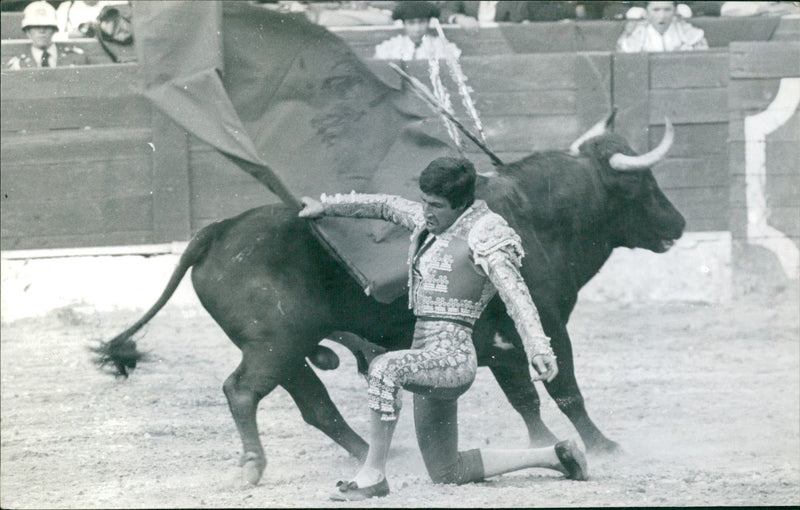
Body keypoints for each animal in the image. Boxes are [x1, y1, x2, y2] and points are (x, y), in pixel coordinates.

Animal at [92, 116, 680, 486]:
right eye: (642, 185)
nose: (678, 223)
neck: (539, 216)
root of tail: (217, 229)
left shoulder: (502, 342)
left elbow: (526, 399)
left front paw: (550, 441)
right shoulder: (546, 323)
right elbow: (563, 389)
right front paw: (603, 445)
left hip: (286, 351)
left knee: (315, 406)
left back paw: (381, 454)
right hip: (273, 344)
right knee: (242, 392)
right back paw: (253, 466)